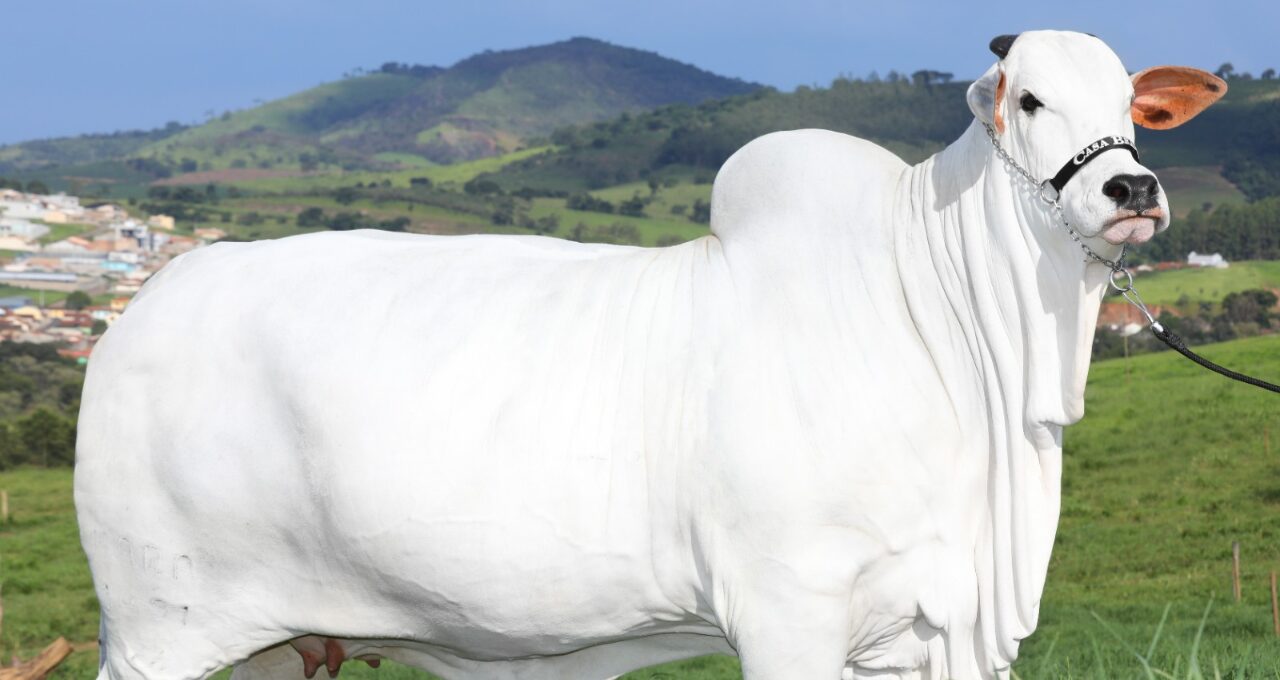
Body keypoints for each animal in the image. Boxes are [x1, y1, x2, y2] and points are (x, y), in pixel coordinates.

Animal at [75, 30, 1224, 680]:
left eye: (1132, 105)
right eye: (1027, 99)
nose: (1131, 188)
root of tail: (147, 305)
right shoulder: (788, 609)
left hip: (270, 643)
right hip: (159, 632)